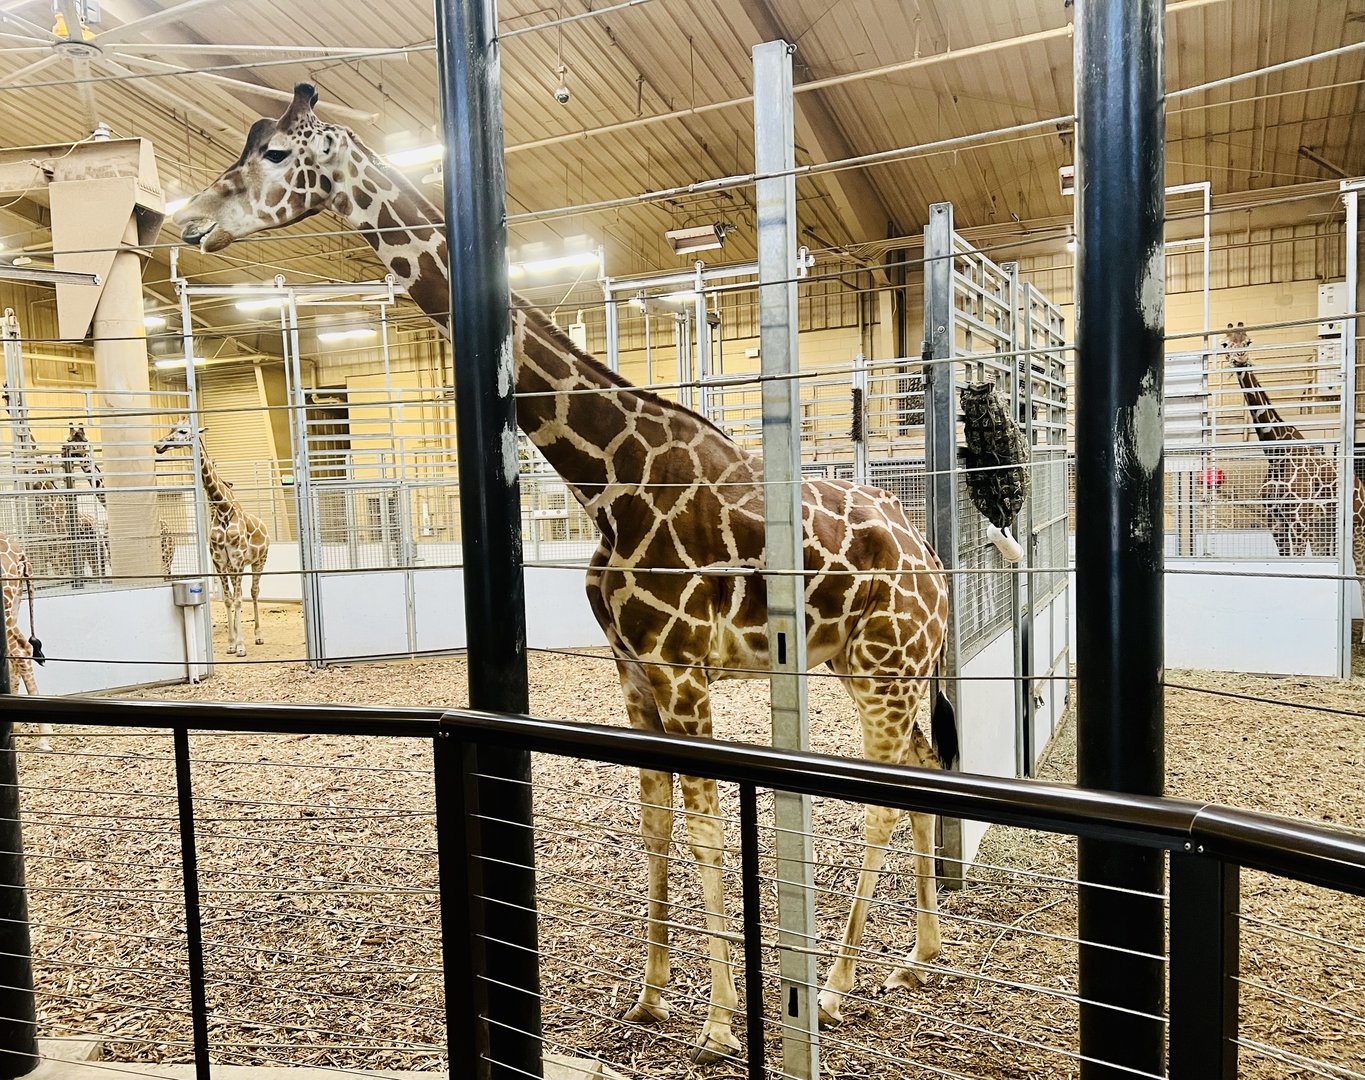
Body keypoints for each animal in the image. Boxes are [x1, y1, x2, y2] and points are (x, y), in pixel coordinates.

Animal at [153, 424, 270, 657]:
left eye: (182, 431)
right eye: (172, 427)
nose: (159, 445)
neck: (224, 509)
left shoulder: (237, 560)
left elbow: (238, 599)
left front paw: (241, 646)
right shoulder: (219, 562)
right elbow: (228, 599)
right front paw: (231, 644)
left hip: (260, 561)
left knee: (253, 593)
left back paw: (258, 636)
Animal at [173, 84, 956, 1061]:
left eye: (276, 154)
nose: (188, 223)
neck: (605, 480)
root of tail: (935, 564)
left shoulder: (680, 669)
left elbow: (703, 831)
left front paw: (716, 1023)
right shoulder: (633, 670)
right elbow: (654, 821)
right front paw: (651, 997)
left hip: (887, 669)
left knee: (889, 796)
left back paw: (844, 984)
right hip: (870, 666)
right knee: (922, 768)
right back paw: (917, 958)